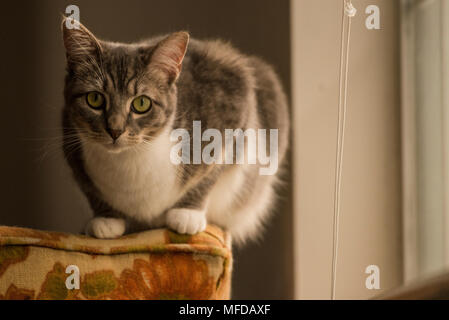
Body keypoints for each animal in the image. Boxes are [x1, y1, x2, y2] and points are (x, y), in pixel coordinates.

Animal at [61, 18, 288, 244]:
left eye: (141, 103)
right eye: (94, 99)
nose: (115, 130)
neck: (129, 159)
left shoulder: (235, 112)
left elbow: (210, 174)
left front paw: (187, 214)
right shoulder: (70, 143)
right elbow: (91, 190)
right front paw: (106, 219)